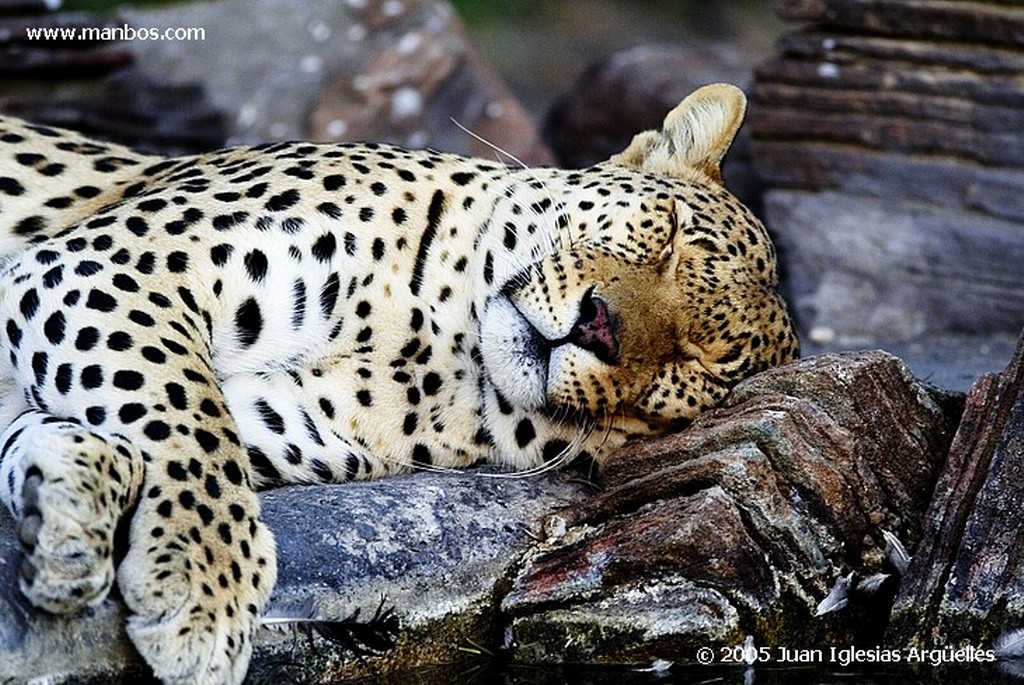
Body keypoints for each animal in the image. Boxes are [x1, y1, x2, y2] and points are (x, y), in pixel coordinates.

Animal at [0, 85, 798, 683]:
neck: (430, 343)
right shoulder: (114, 266)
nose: (598, 326)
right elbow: (184, 411)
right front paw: (203, 581)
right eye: (666, 237)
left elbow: (167, 421)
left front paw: (67, 512)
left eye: (695, 365)